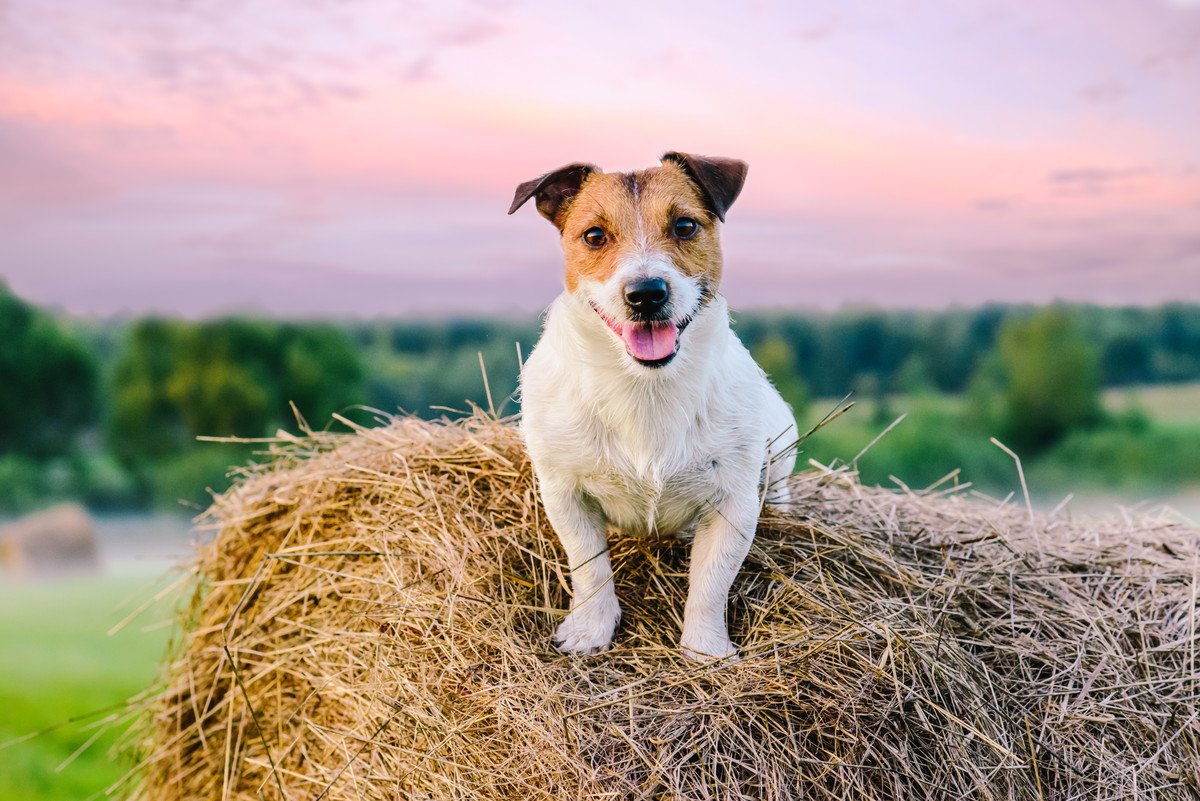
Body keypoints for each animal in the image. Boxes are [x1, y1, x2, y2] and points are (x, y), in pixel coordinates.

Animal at [506, 153, 796, 661]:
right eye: (594, 236)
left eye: (684, 226)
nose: (646, 293)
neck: (645, 388)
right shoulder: (565, 494)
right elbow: (590, 568)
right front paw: (590, 631)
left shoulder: (733, 503)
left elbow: (711, 583)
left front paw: (705, 649)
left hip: (781, 441)